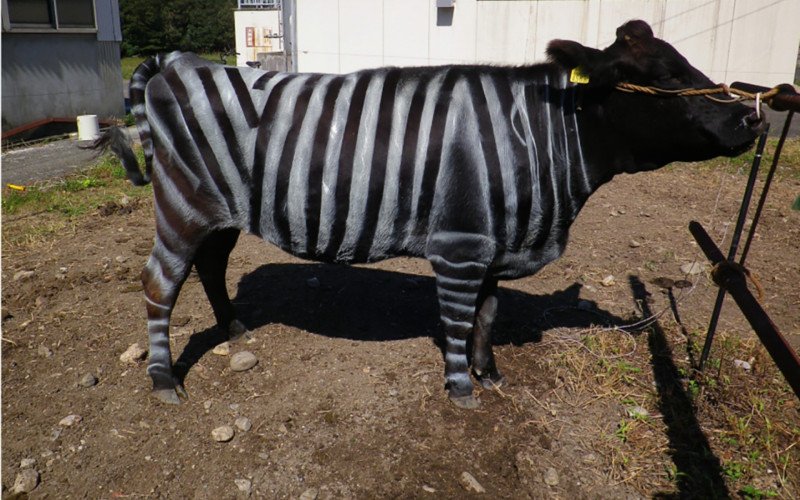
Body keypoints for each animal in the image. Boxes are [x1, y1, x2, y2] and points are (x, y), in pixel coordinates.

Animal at [98, 20, 761, 408]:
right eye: (662, 78)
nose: (751, 118)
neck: (537, 138)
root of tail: (181, 63)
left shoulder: (497, 243)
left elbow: (488, 316)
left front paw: (491, 375)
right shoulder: (462, 246)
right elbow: (460, 320)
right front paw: (462, 389)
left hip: (221, 211)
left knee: (210, 266)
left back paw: (235, 329)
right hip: (182, 206)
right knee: (160, 283)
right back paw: (164, 381)